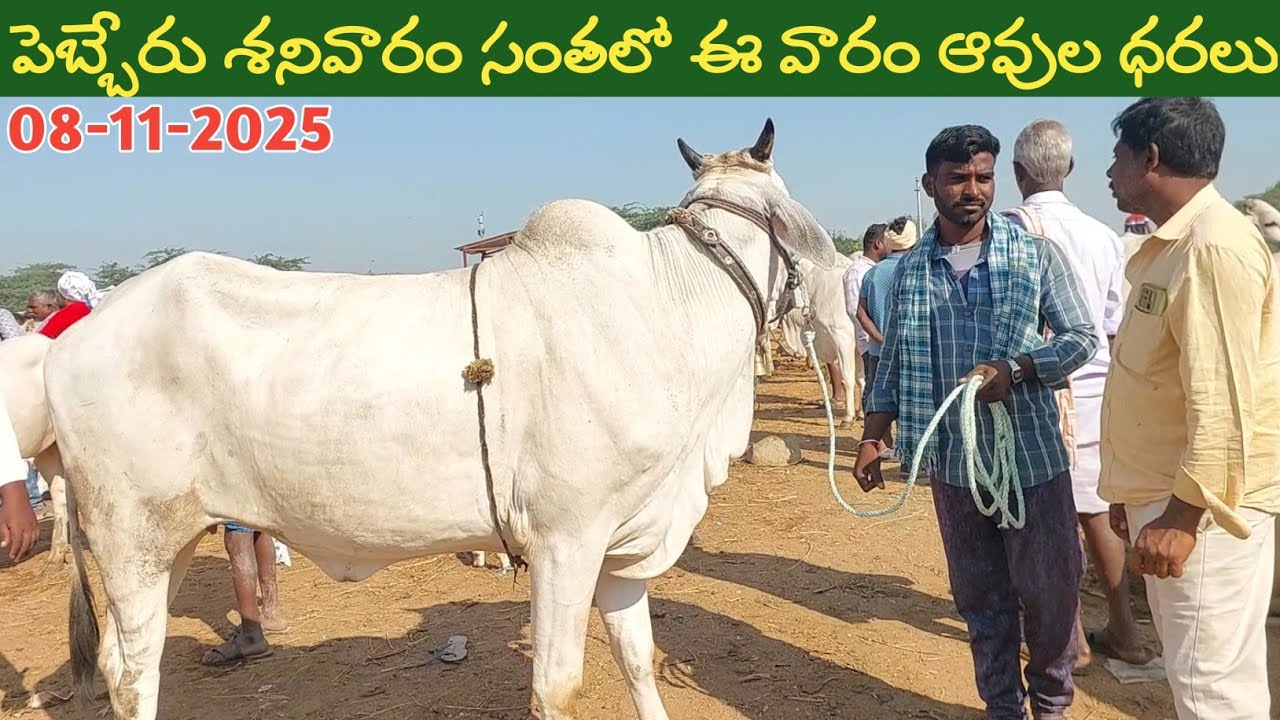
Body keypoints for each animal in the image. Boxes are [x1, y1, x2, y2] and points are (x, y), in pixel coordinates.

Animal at [45, 118, 840, 720]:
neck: (666, 304)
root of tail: (66, 345)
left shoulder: (626, 538)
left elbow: (639, 660)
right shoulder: (566, 539)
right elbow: (557, 687)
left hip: (170, 539)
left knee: (123, 658)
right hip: (131, 538)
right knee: (132, 672)